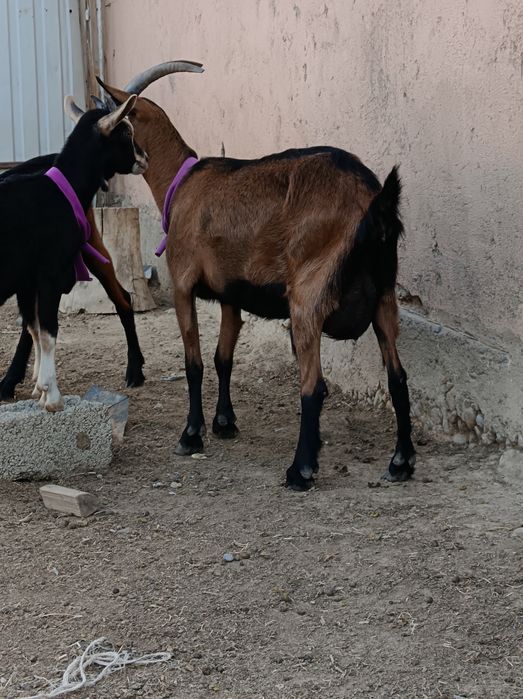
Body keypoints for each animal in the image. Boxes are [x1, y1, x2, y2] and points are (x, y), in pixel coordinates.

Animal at [0, 95, 147, 411]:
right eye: (125, 133)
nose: (144, 158)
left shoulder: (35, 278)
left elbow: (39, 328)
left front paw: (44, 391)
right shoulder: (48, 273)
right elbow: (46, 330)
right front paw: (51, 395)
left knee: (122, 298)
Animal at [98, 61, 416, 490]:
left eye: (111, 122)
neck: (181, 184)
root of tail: (373, 200)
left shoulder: (182, 282)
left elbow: (194, 362)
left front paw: (191, 434)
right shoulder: (231, 294)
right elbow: (223, 358)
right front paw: (224, 423)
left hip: (307, 297)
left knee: (314, 386)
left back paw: (301, 470)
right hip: (384, 297)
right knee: (397, 377)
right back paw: (400, 462)